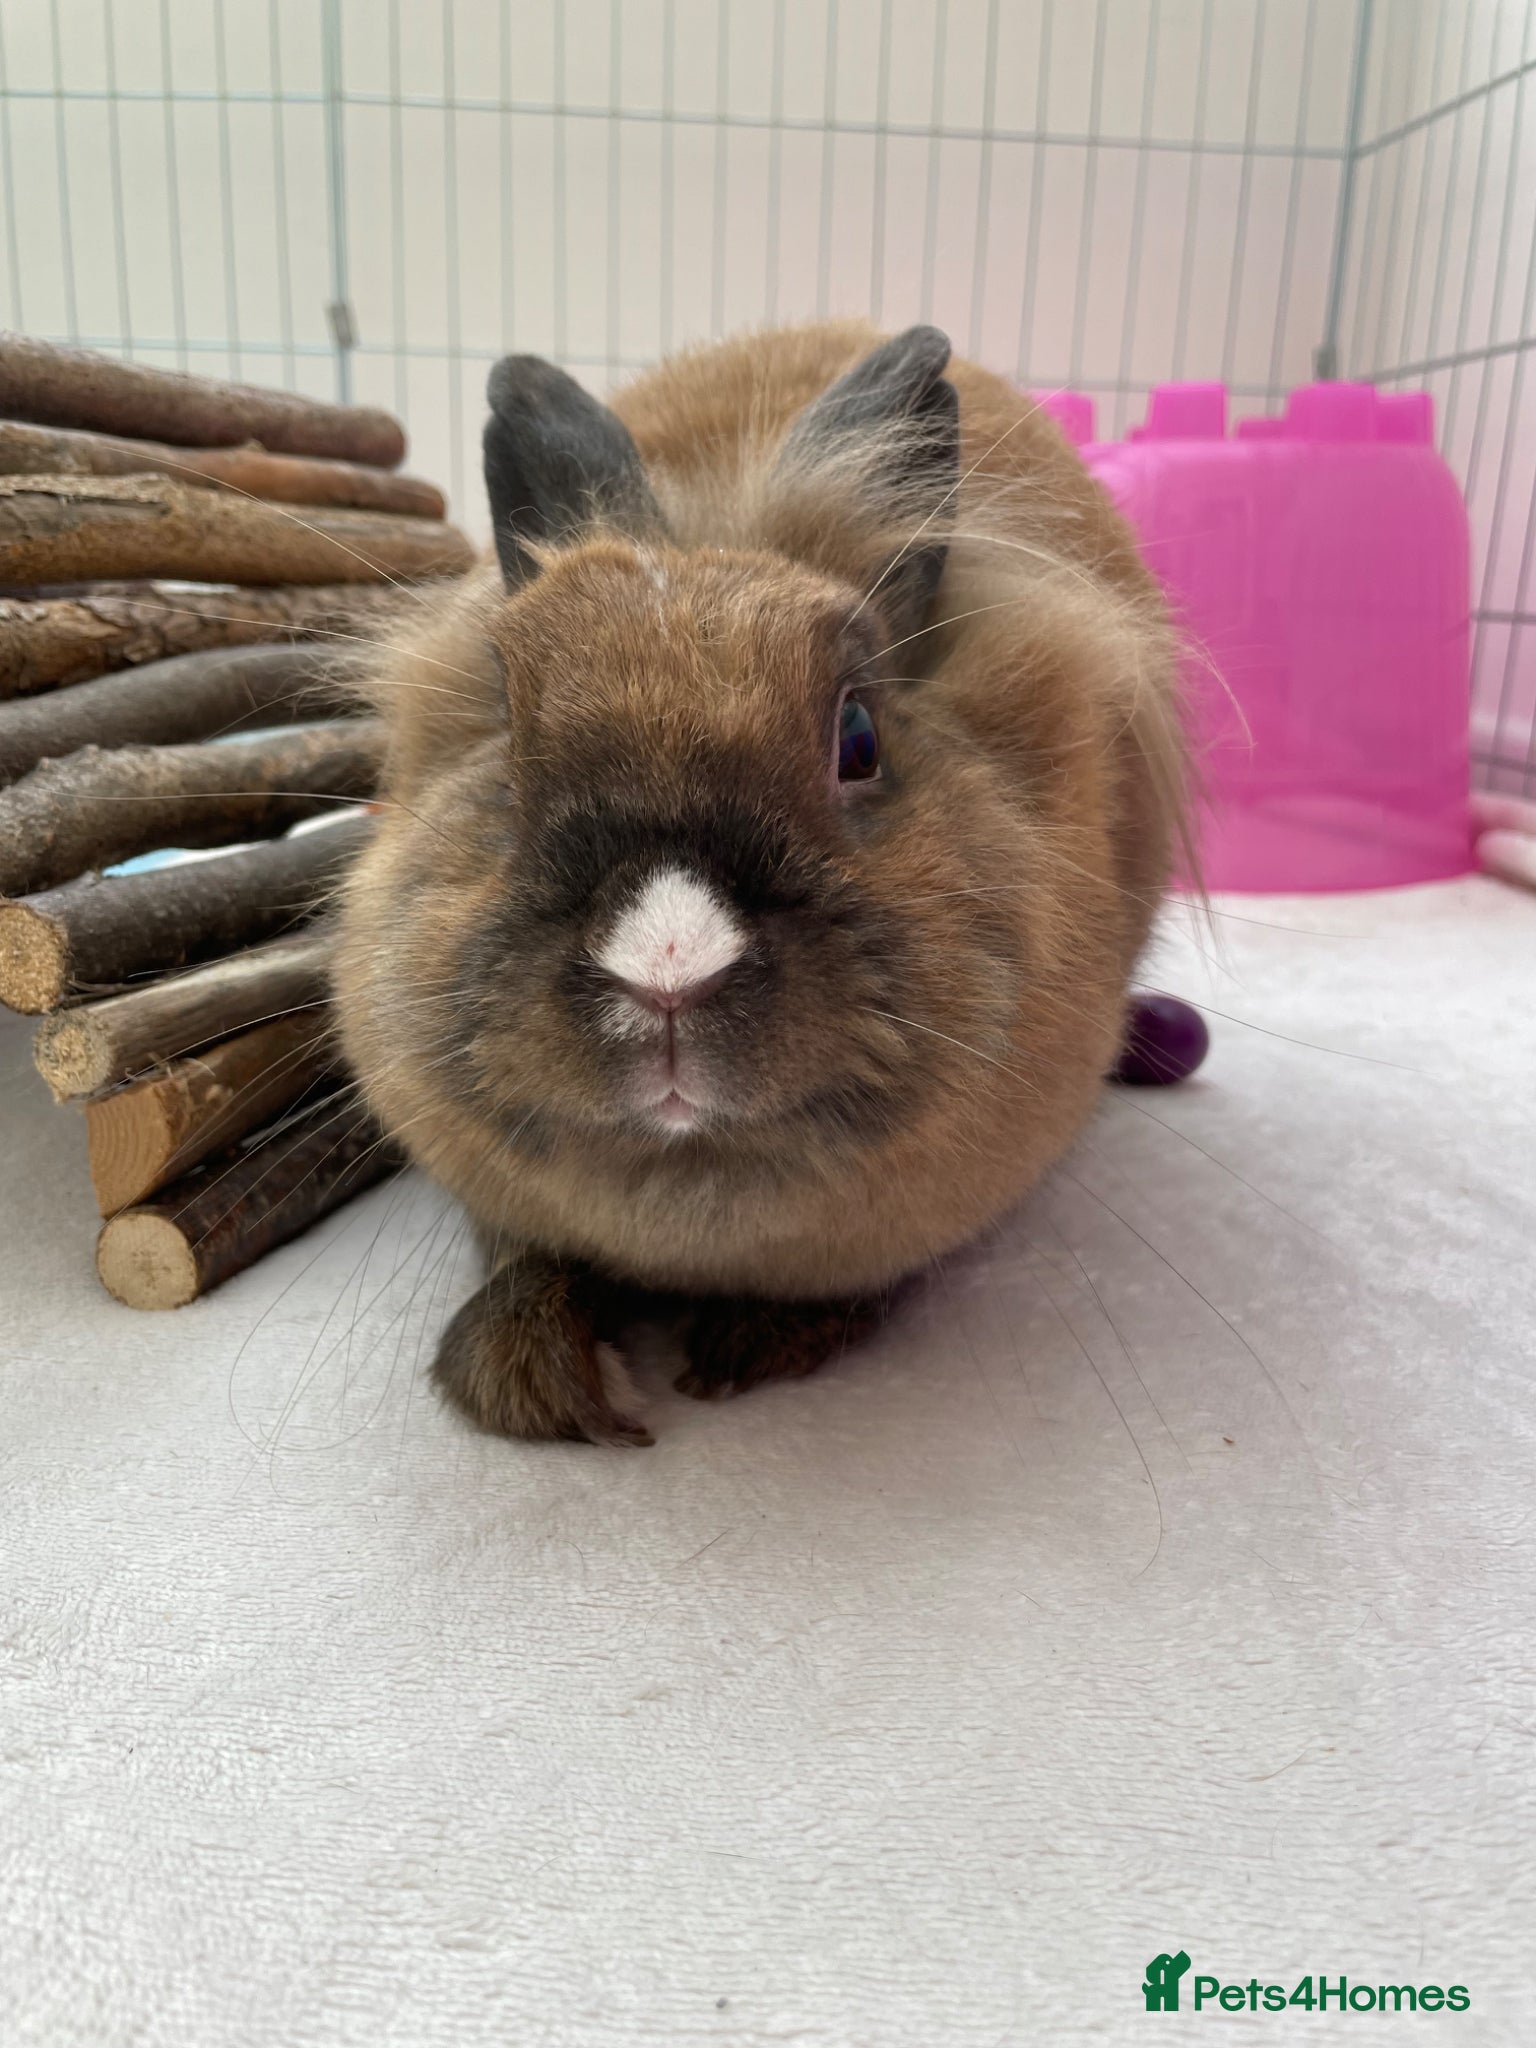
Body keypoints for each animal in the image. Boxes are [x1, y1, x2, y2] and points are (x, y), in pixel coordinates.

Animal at [332, 321, 1188, 1446]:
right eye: (507, 740)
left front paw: (749, 1349)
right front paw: (542, 1381)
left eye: (859, 738)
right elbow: (528, 1258)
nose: (667, 975)